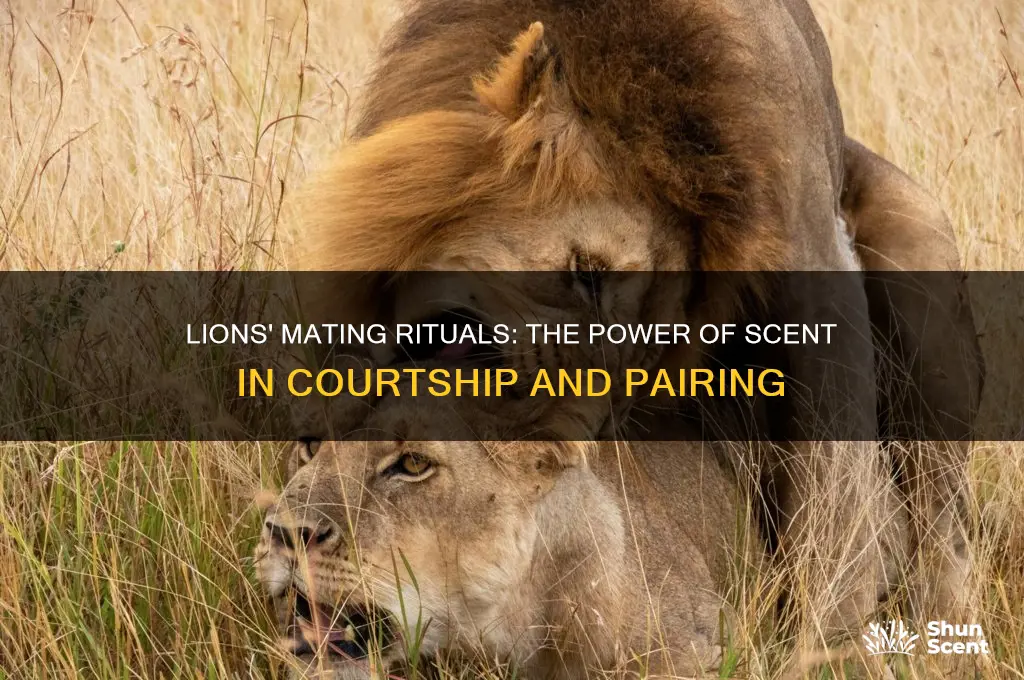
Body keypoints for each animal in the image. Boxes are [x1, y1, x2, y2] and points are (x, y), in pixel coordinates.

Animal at [290, 0, 981, 635]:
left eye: (655, 336)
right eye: (587, 272)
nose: (578, 428)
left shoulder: (817, 276)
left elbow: (832, 507)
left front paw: (825, 646)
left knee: (942, 531)